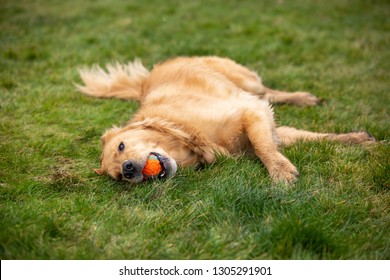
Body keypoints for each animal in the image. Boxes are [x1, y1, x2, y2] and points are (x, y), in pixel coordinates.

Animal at [77, 56, 374, 184]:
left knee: (268, 92)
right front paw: (358, 140)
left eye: (122, 147)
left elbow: (264, 148)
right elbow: (311, 138)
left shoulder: (250, 111)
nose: (128, 170)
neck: (188, 133)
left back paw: (302, 97)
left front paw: (280, 172)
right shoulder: (270, 127)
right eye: (118, 177)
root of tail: (145, 80)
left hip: (245, 81)